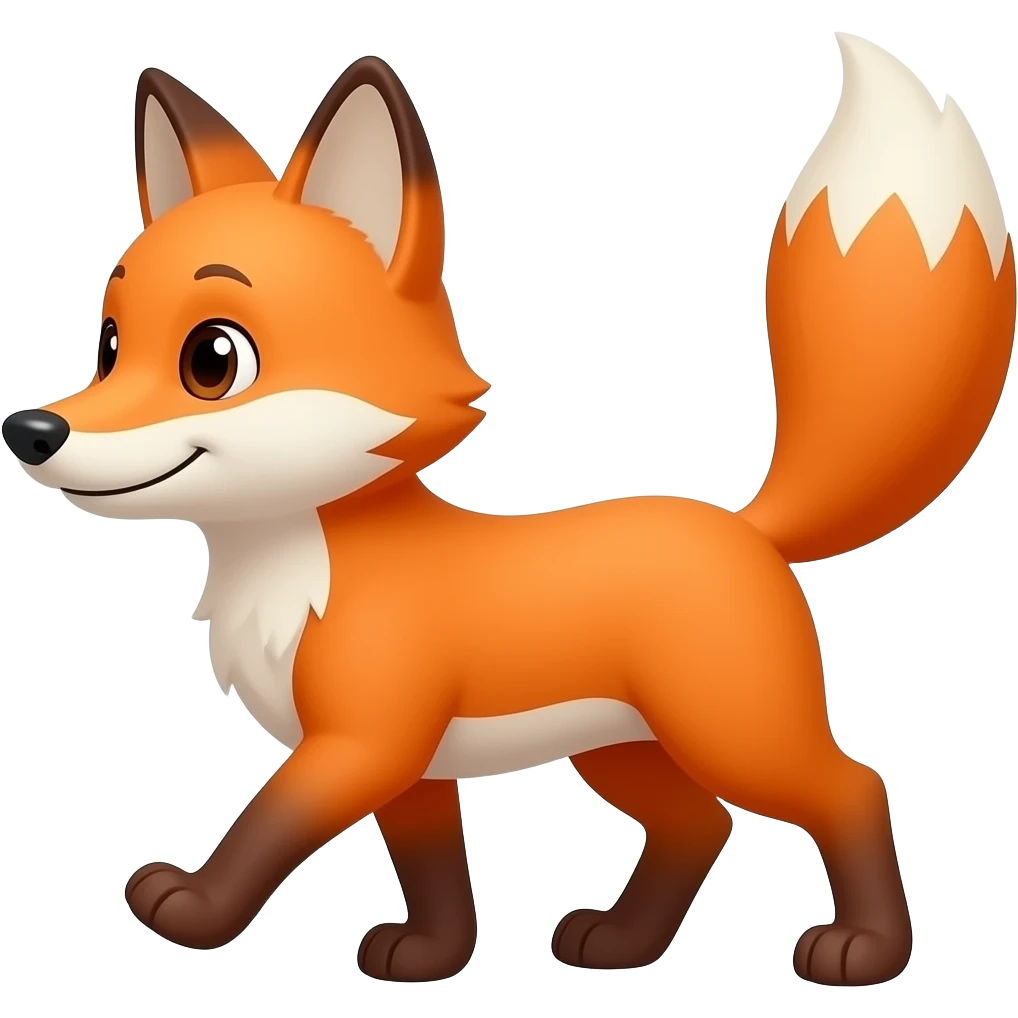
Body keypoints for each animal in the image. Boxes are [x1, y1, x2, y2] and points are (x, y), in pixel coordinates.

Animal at [3, 36, 1014, 985]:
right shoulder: (406, 767)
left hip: (734, 729)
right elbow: (433, 870)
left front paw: (196, 910)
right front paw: (431, 955)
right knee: (703, 824)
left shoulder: (359, 743)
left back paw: (865, 950)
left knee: (851, 788)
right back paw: (621, 941)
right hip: (621, 748)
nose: (30, 429)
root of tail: (745, 525)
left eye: (212, 359)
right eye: (108, 344)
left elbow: (265, 826)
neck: (294, 572)